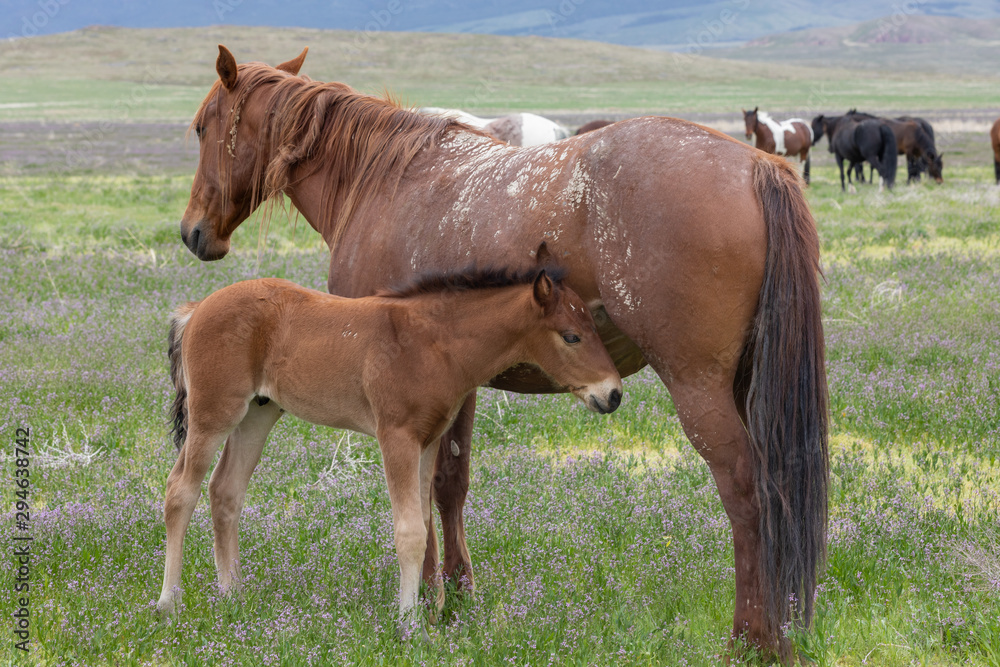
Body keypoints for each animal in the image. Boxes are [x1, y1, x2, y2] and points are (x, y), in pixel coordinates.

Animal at [155, 268, 623, 636]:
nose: (614, 394)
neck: (433, 343)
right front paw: (409, 623)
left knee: (225, 491)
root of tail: (196, 309)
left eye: (595, 329)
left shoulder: (428, 442)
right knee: (181, 490)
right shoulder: (396, 437)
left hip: (258, 413)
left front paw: (423, 612)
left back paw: (233, 595)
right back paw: (168, 602)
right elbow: (410, 530)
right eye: (572, 336)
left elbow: (424, 522)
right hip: (214, 414)